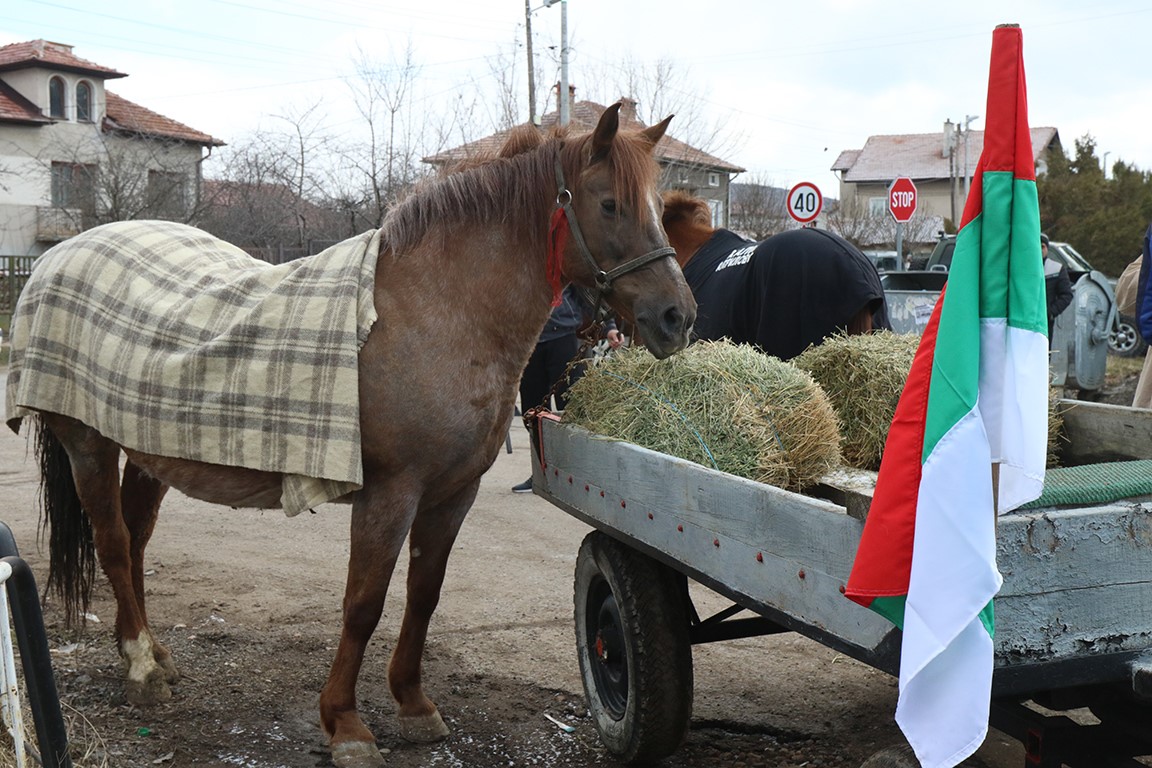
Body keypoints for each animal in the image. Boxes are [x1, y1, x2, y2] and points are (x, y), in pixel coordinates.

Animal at [6, 103, 691, 768]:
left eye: (661, 208)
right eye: (610, 204)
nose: (676, 317)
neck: (434, 315)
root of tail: (59, 256)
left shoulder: (453, 494)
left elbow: (423, 594)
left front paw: (414, 705)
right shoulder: (389, 494)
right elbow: (363, 604)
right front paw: (346, 725)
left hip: (152, 451)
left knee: (137, 538)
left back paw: (151, 653)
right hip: (87, 444)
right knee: (114, 544)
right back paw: (142, 669)